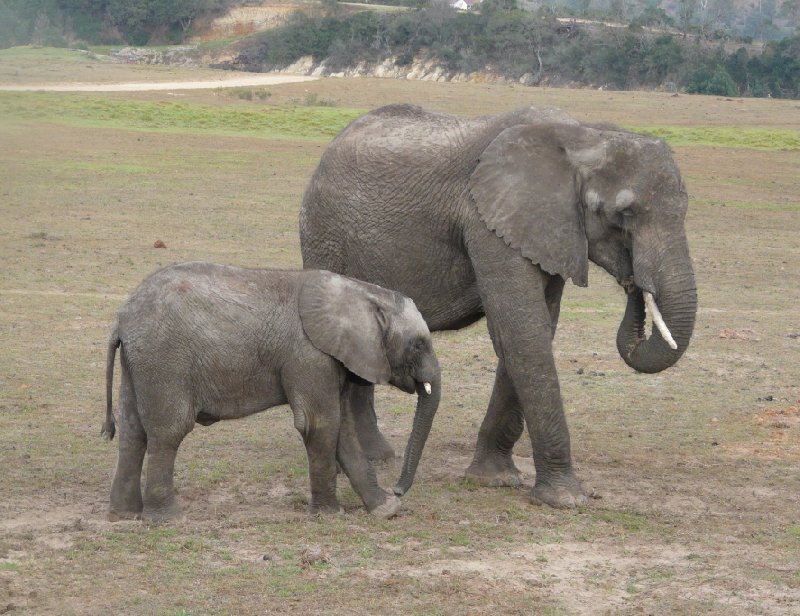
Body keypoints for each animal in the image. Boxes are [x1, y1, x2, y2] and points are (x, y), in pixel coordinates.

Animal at [102, 262, 440, 524]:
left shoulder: (336, 357)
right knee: (168, 432)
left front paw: (386, 510)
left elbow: (342, 428)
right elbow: (320, 425)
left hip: (138, 363)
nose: (398, 489)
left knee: (133, 431)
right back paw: (168, 519)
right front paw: (330, 516)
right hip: (164, 360)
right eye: (418, 344)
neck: (360, 292)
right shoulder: (309, 355)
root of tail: (121, 319)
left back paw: (124, 515)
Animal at [296, 106, 696, 508]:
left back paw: (379, 456)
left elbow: (534, 330)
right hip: (323, 235)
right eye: (624, 214)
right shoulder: (489, 223)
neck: (586, 136)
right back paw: (373, 457)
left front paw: (494, 479)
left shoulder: (542, 233)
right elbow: (520, 332)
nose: (634, 283)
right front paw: (565, 499)